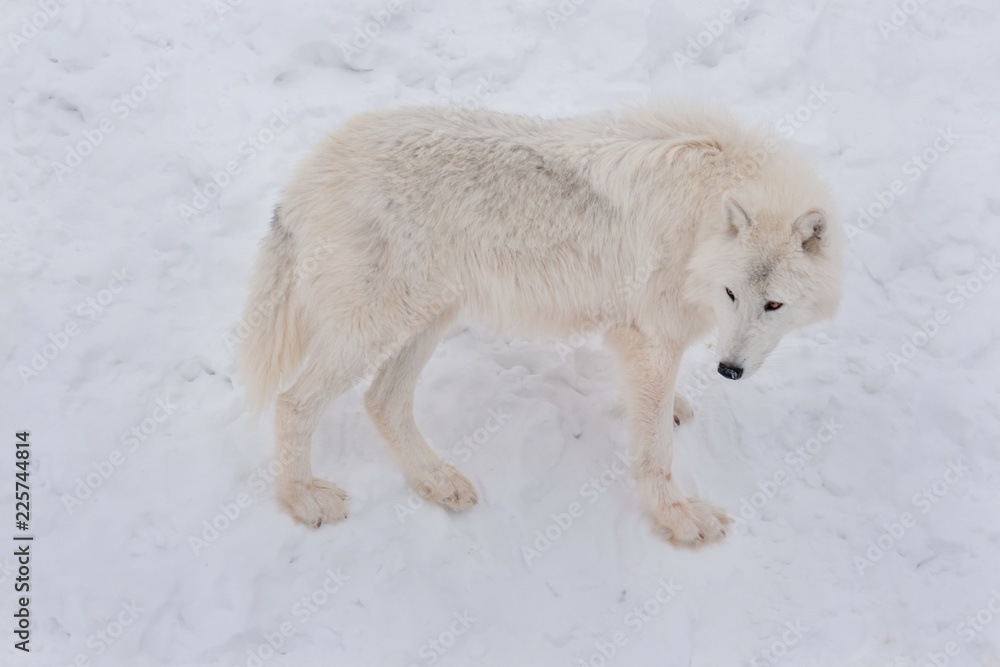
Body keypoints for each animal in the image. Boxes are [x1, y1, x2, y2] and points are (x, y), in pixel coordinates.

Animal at [237, 102, 843, 547]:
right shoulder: (647, 338)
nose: (729, 371)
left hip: (428, 318)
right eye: (733, 294)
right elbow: (655, 454)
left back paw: (437, 481)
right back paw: (303, 499)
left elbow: (653, 410)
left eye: (773, 306)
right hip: (375, 330)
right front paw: (678, 518)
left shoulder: (642, 342)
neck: (700, 218)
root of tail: (305, 174)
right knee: (293, 403)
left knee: (381, 401)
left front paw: (673, 407)